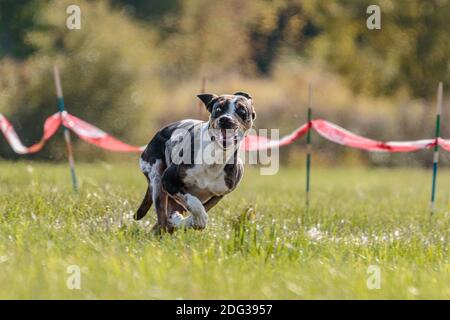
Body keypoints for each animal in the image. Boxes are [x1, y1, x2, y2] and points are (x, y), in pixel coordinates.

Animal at [134, 91, 256, 231]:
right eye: (218, 109)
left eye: (242, 111)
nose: (226, 119)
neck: (215, 157)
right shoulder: (168, 180)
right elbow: (194, 205)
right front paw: (194, 218)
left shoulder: (219, 194)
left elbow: (199, 215)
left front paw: (183, 221)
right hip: (157, 179)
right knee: (162, 219)